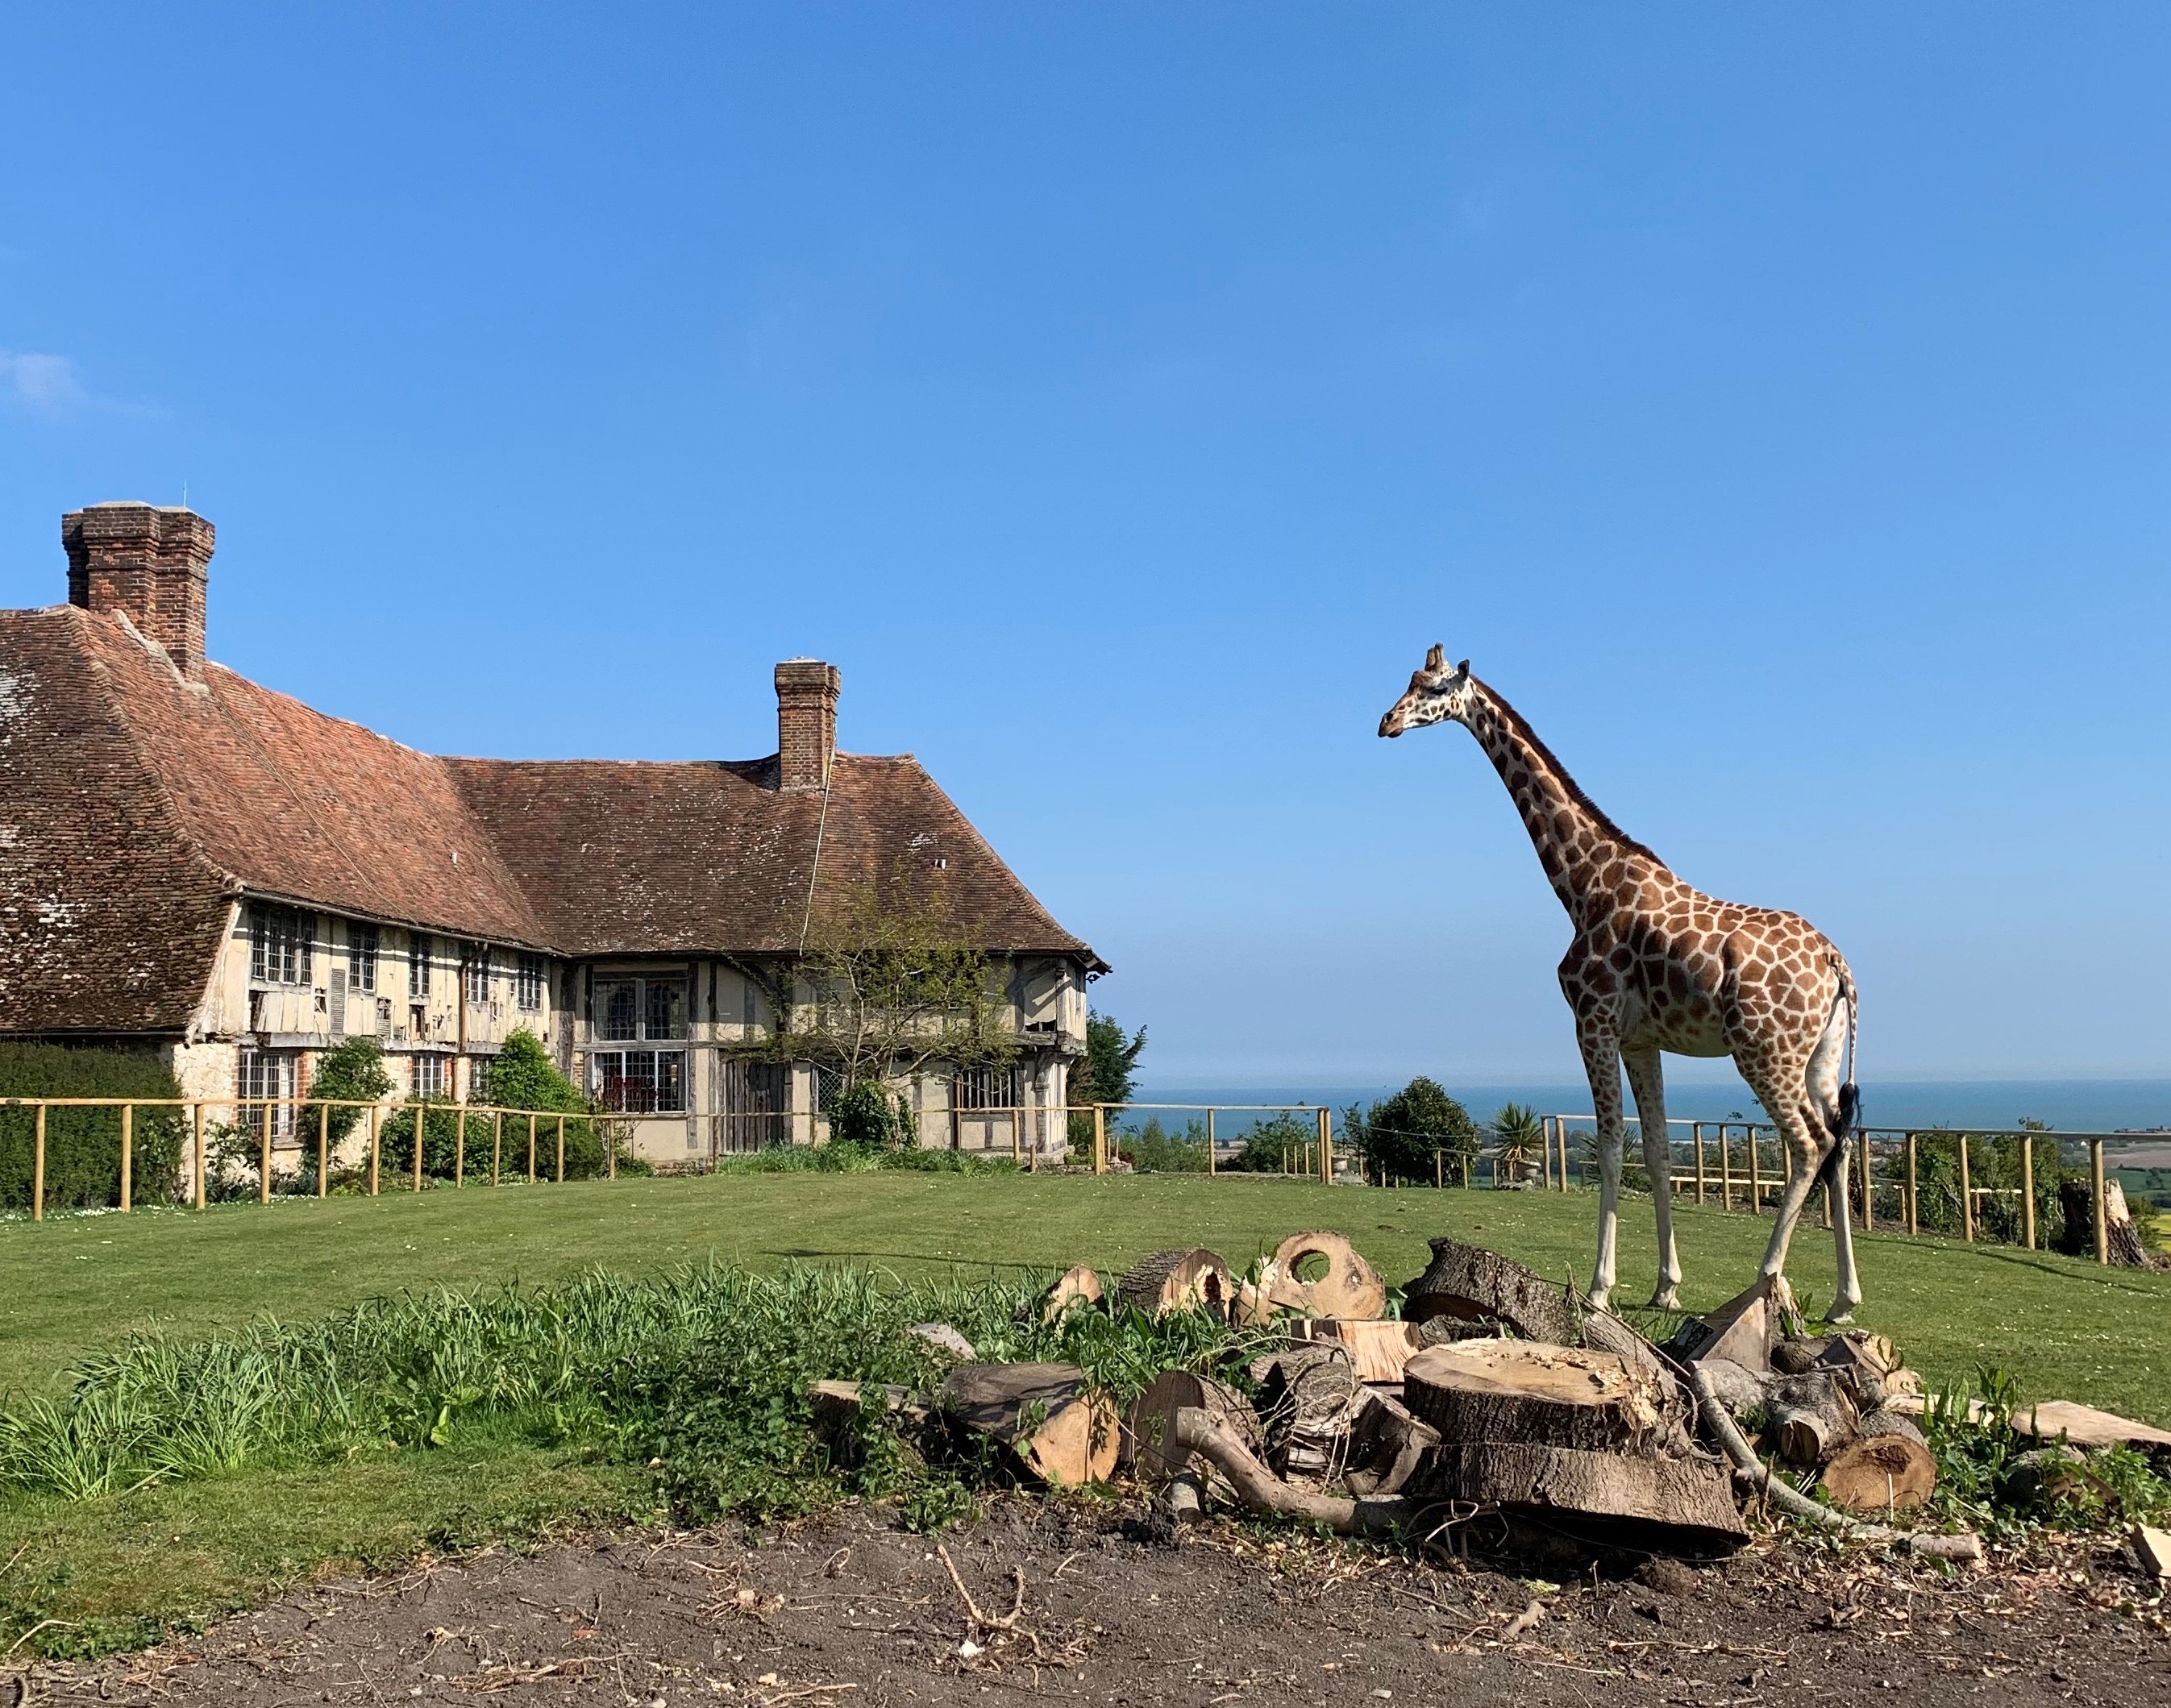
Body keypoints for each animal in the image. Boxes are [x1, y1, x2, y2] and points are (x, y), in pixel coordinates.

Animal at [1378, 646, 1863, 1321]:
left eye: (1429, 688)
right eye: (1408, 680)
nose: (1386, 723)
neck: (1580, 885)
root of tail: (1835, 962)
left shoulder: (1592, 1020)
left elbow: (1609, 1146)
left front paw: (1599, 1288)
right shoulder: (1641, 1039)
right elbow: (1654, 1149)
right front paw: (1665, 1286)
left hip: (1764, 1051)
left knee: (1808, 1144)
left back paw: (1769, 1279)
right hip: (1819, 1055)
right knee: (1839, 1143)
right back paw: (1843, 1300)